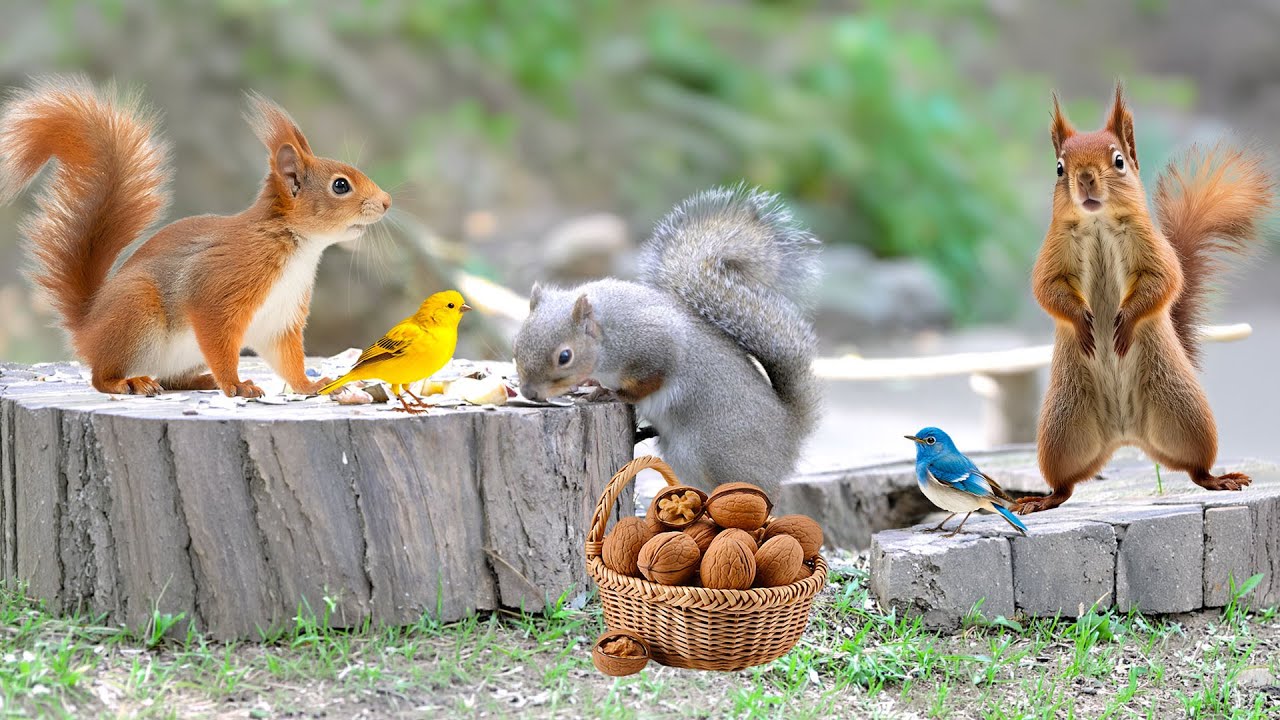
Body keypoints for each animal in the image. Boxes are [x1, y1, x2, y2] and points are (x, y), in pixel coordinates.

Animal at [0, 76, 391, 397]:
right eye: (340, 186)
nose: (387, 201)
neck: (296, 246)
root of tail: (88, 327)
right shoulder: (220, 290)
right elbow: (219, 338)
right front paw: (236, 385)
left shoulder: (281, 317)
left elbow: (287, 358)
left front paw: (311, 385)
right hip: (135, 313)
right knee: (101, 375)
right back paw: (130, 382)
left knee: (173, 379)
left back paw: (200, 381)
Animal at [513, 186, 822, 496]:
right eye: (516, 345)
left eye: (565, 357)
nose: (529, 393)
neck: (608, 332)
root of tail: (789, 434)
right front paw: (591, 382)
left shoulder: (658, 346)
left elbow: (648, 383)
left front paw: (610, 393)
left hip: (718, 454)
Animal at [1019, 84, 1274, 514]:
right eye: (1058, 168)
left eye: (1119, 161)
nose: (1085, 179)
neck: (1098, 223)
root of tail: (1124, 435)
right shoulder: (1051, 257)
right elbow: (1047, 290)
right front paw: (1083, 321)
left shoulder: (1154, 249)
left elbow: (1165, 281)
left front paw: (1123, 321)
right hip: (1060, 431)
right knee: (1065, 485)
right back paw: (1042, 500)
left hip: (1186, 415)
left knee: (1196, 469)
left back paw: (1218, 479)